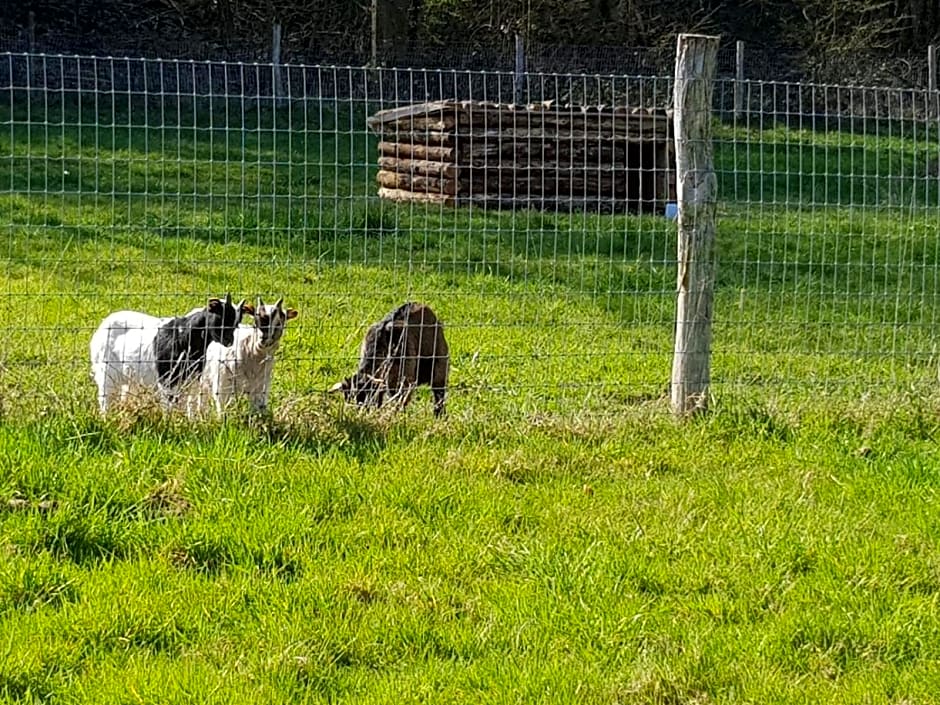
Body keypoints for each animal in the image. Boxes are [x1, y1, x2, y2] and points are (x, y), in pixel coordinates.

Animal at [89, 292, 246, 412]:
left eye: (236, 323)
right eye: (220, 318)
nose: (229, 341)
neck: (185, 336)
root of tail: (102, 326)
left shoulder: (194, 379)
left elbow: (191, 403)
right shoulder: (167, 379)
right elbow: (169, 405)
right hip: (105, 372)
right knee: (105, 398)